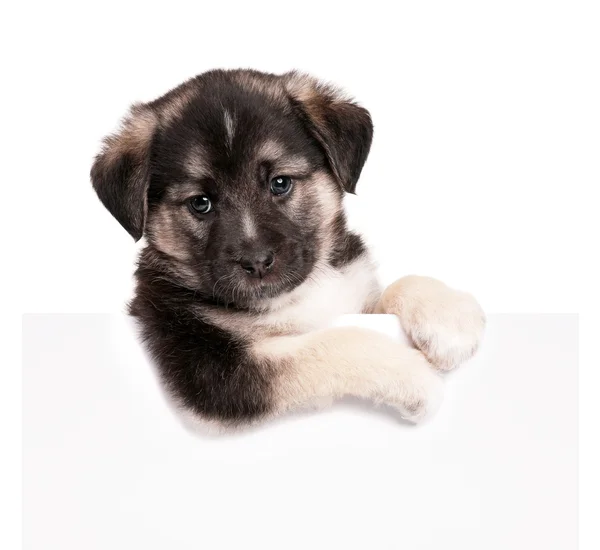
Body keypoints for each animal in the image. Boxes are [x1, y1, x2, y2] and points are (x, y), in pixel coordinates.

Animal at [91, 69, 486, 430]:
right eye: (201, 203)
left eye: (279, 183)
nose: (256, 262)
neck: (293, 297)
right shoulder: (210, 366)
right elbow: (329, 344)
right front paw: (411, 376)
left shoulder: (355, 302)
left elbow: (396, 287)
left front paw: (448, 317)